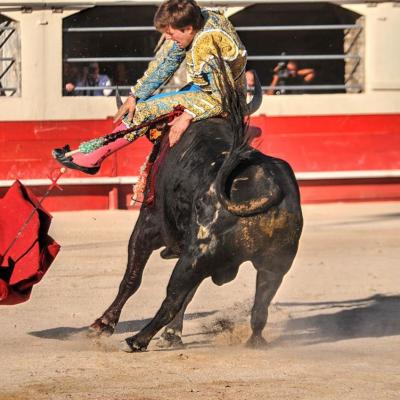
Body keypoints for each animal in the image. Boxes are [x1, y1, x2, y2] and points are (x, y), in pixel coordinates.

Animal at [89, 112, 304, 350]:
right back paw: (254, 342)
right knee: (260, 308)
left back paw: (137, 340)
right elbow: (189, 295)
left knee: (171, 299)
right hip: (274, 264)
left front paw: (103, 325)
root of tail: (266, 187)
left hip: (196, 255)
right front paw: (172, 334)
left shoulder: (148, 226)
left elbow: (132, 280)